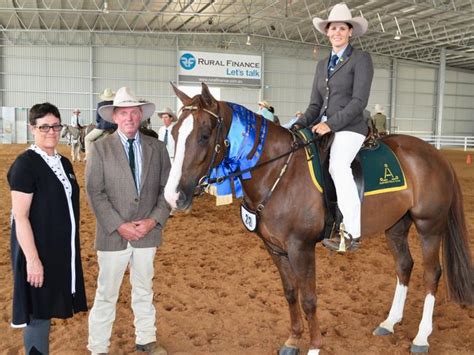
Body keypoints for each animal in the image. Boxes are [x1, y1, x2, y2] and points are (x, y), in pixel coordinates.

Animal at [165, 82, 472, 354]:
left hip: (429, 226)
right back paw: (389, 323)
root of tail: (435, 154)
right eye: (175, 132)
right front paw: (292, 341)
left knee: (431, 274)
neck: (279, 172)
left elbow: (309, 299)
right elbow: (291, 293)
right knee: (404, 266)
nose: (173, 196)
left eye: (205, 135)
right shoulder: (275, 248)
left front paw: (314, 347)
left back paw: (421, 337)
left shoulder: (301, 248)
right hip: (396, 225)